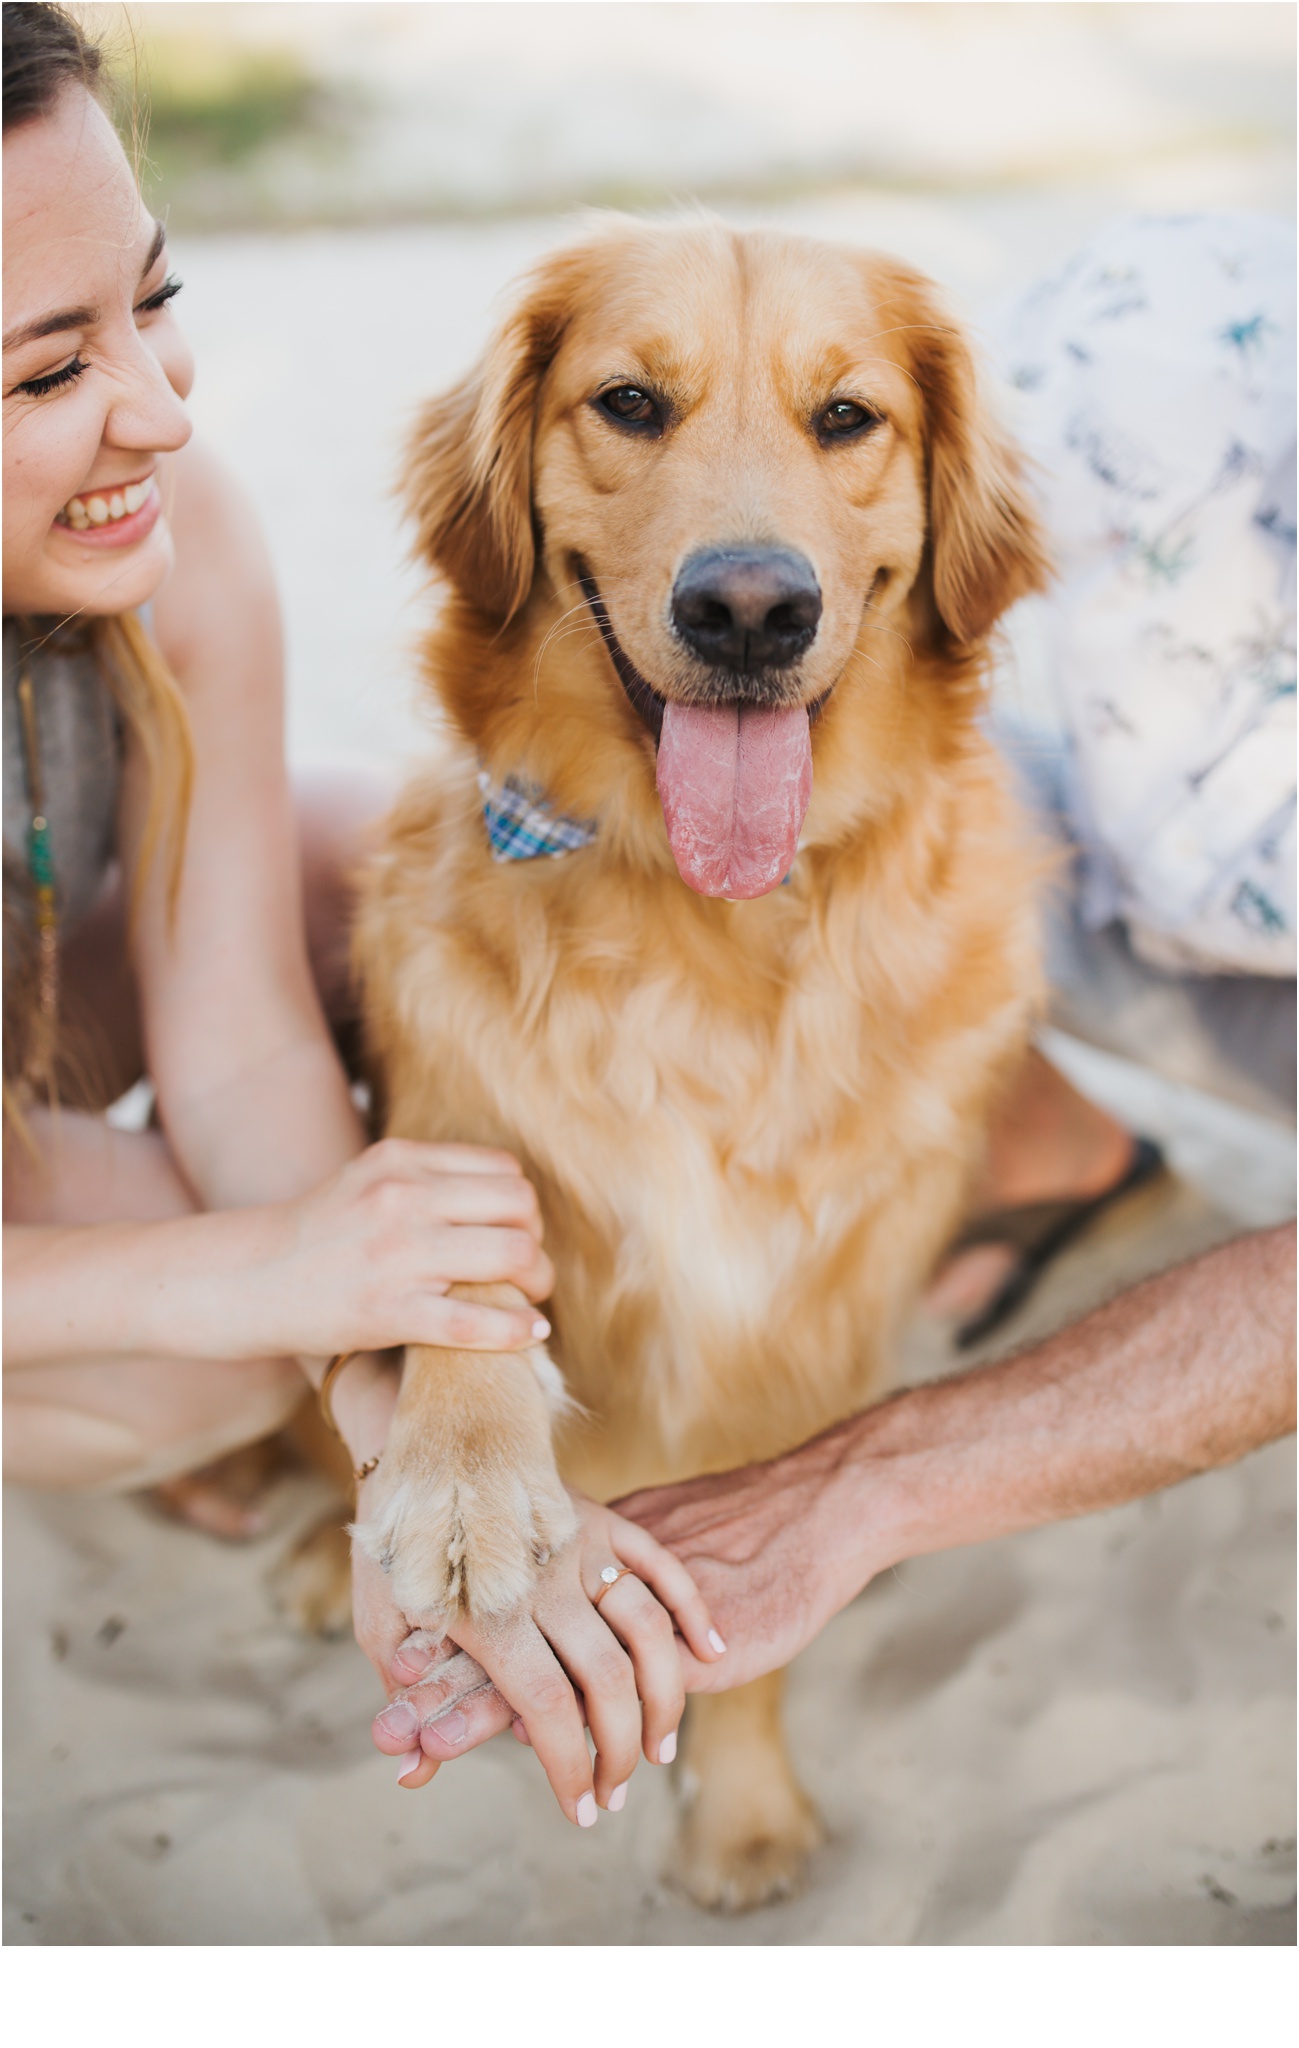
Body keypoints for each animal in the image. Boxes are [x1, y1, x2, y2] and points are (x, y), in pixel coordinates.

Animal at [348, 216, 1049, 1908]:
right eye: (627, 403)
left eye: (847, 418)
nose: (746, 609)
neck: (708, 925)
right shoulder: (442, 1097)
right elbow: (457, 1265)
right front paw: (462, 1480)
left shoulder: (802, 1343)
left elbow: (756, 1613)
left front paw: (738, 1816)